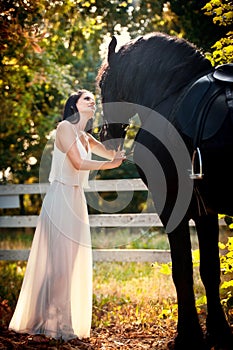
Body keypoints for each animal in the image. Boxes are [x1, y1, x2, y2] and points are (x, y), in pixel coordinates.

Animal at [96, 31, 233, 348]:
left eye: (101, 84)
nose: (105, 135)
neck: (171, 97)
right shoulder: (205, 211)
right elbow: (209, 270)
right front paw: (218, 332)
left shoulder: (173, 207)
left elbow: (181, 270)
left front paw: (188, 335)